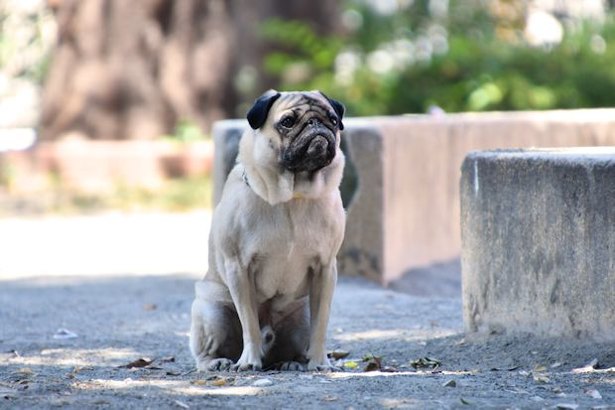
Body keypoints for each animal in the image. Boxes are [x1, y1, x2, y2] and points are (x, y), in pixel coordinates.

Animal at [190, 89, 346, 372]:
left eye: (332, 119)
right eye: (288, 122)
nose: (315, 124)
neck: (292, 197)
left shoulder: (326, 268)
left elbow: (321, 324)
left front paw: (320, 362)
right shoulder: (238, 268)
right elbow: (249, 323)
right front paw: (249, 360)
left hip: (301, 317)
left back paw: (293, 361)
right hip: (211, 312)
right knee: (208, 349)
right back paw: (217, 362)